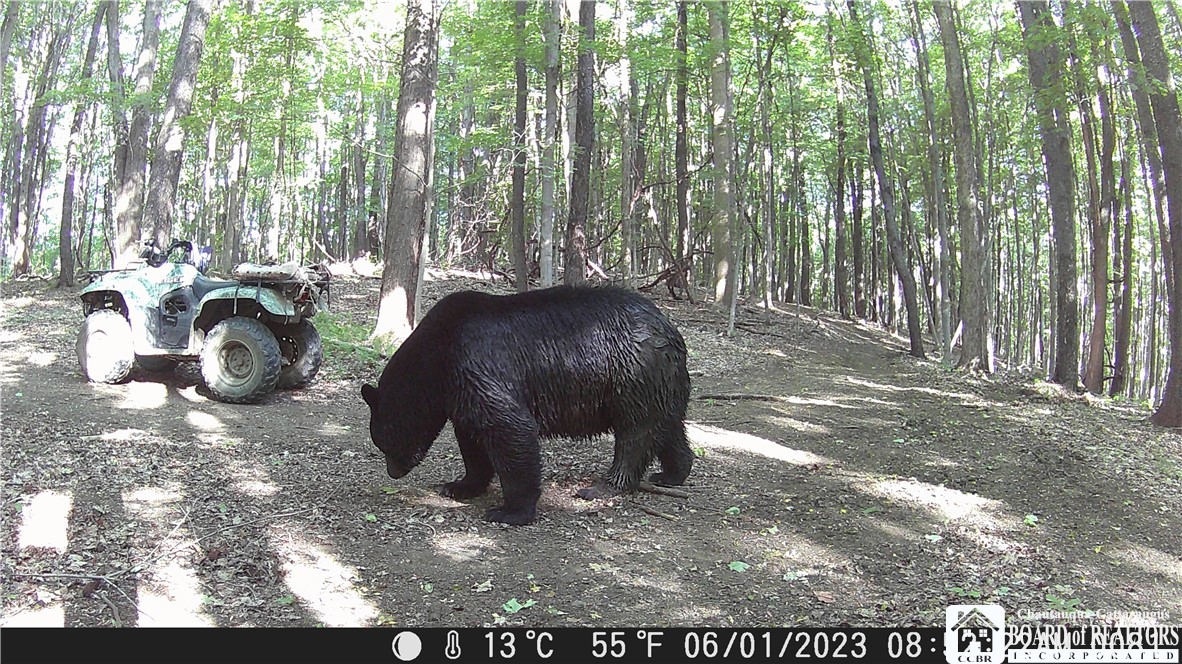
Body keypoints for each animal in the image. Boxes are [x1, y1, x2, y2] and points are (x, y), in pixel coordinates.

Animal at [360, 285, 694, 525]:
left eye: (383, 441)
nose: (393, 472)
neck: (437, 361)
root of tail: (671, 331)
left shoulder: (477, 366)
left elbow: (510, 429)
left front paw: (510, 511)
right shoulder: (461, 393)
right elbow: (473, 440)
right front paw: (460, 485)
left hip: (634, 374)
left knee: (636, 433)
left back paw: (605, 485)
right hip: (660, 382)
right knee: (668, 428)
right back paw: (673, 473)